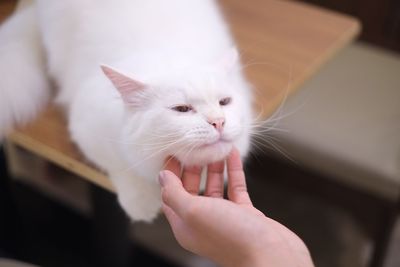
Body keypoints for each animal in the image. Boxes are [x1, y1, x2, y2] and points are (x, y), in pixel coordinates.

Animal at [0, 0, 253, 222]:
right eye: (182, 109)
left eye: (224, 102)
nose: (218, 122)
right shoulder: (88, 132)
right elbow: (122, 167)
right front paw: (142, 203)